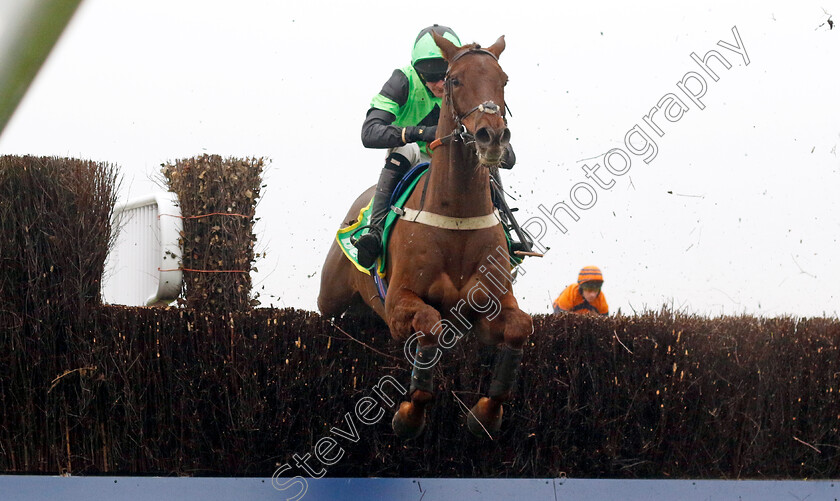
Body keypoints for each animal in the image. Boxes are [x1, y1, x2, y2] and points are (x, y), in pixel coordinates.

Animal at [318, 32, 528, 438]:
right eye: (454, 79)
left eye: (504, 80)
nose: (493, 137)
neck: (457, 218)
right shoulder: (398, 306)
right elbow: (430, 326)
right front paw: (409, 415)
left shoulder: (489, 307)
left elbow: (520, 327)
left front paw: (486, 413)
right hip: (330, 300)